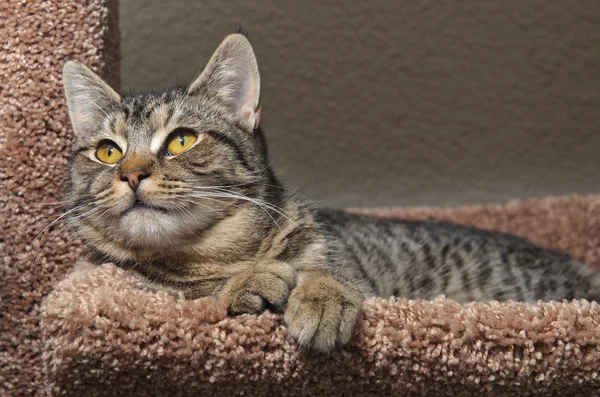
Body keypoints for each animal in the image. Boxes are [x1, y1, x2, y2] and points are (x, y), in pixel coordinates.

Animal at [62, 32, 600, 352]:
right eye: (107, 151)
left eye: (180, 140)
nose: (131, 174)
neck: (218, 251)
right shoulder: (145, 288)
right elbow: (195, 294)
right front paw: (243, 283)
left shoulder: (342, 257)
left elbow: (331, 270)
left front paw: (321, 298)